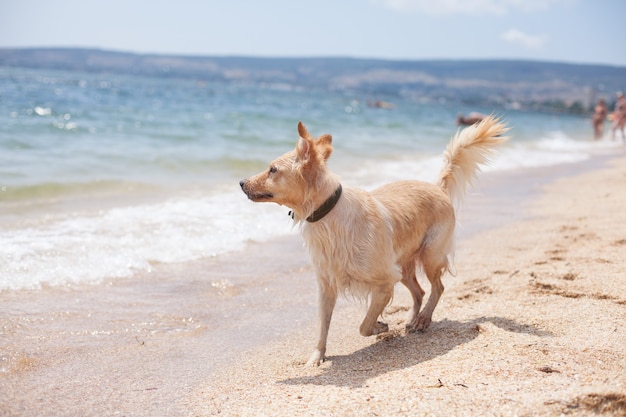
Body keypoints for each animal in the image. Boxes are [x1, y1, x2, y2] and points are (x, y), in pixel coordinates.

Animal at [239, 116, 508, 364]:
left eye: (273, 169)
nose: (241, 182)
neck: (328, 215)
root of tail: (438, 188)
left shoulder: (384, 283)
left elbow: (364, 325)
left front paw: (381, 327)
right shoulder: (327, 286)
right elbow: (323, 326)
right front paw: (317, 356)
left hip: (428, 256)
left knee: (437, 287)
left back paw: (423, 319)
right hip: (403, 268)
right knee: (420, 291)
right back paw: (412, 319)